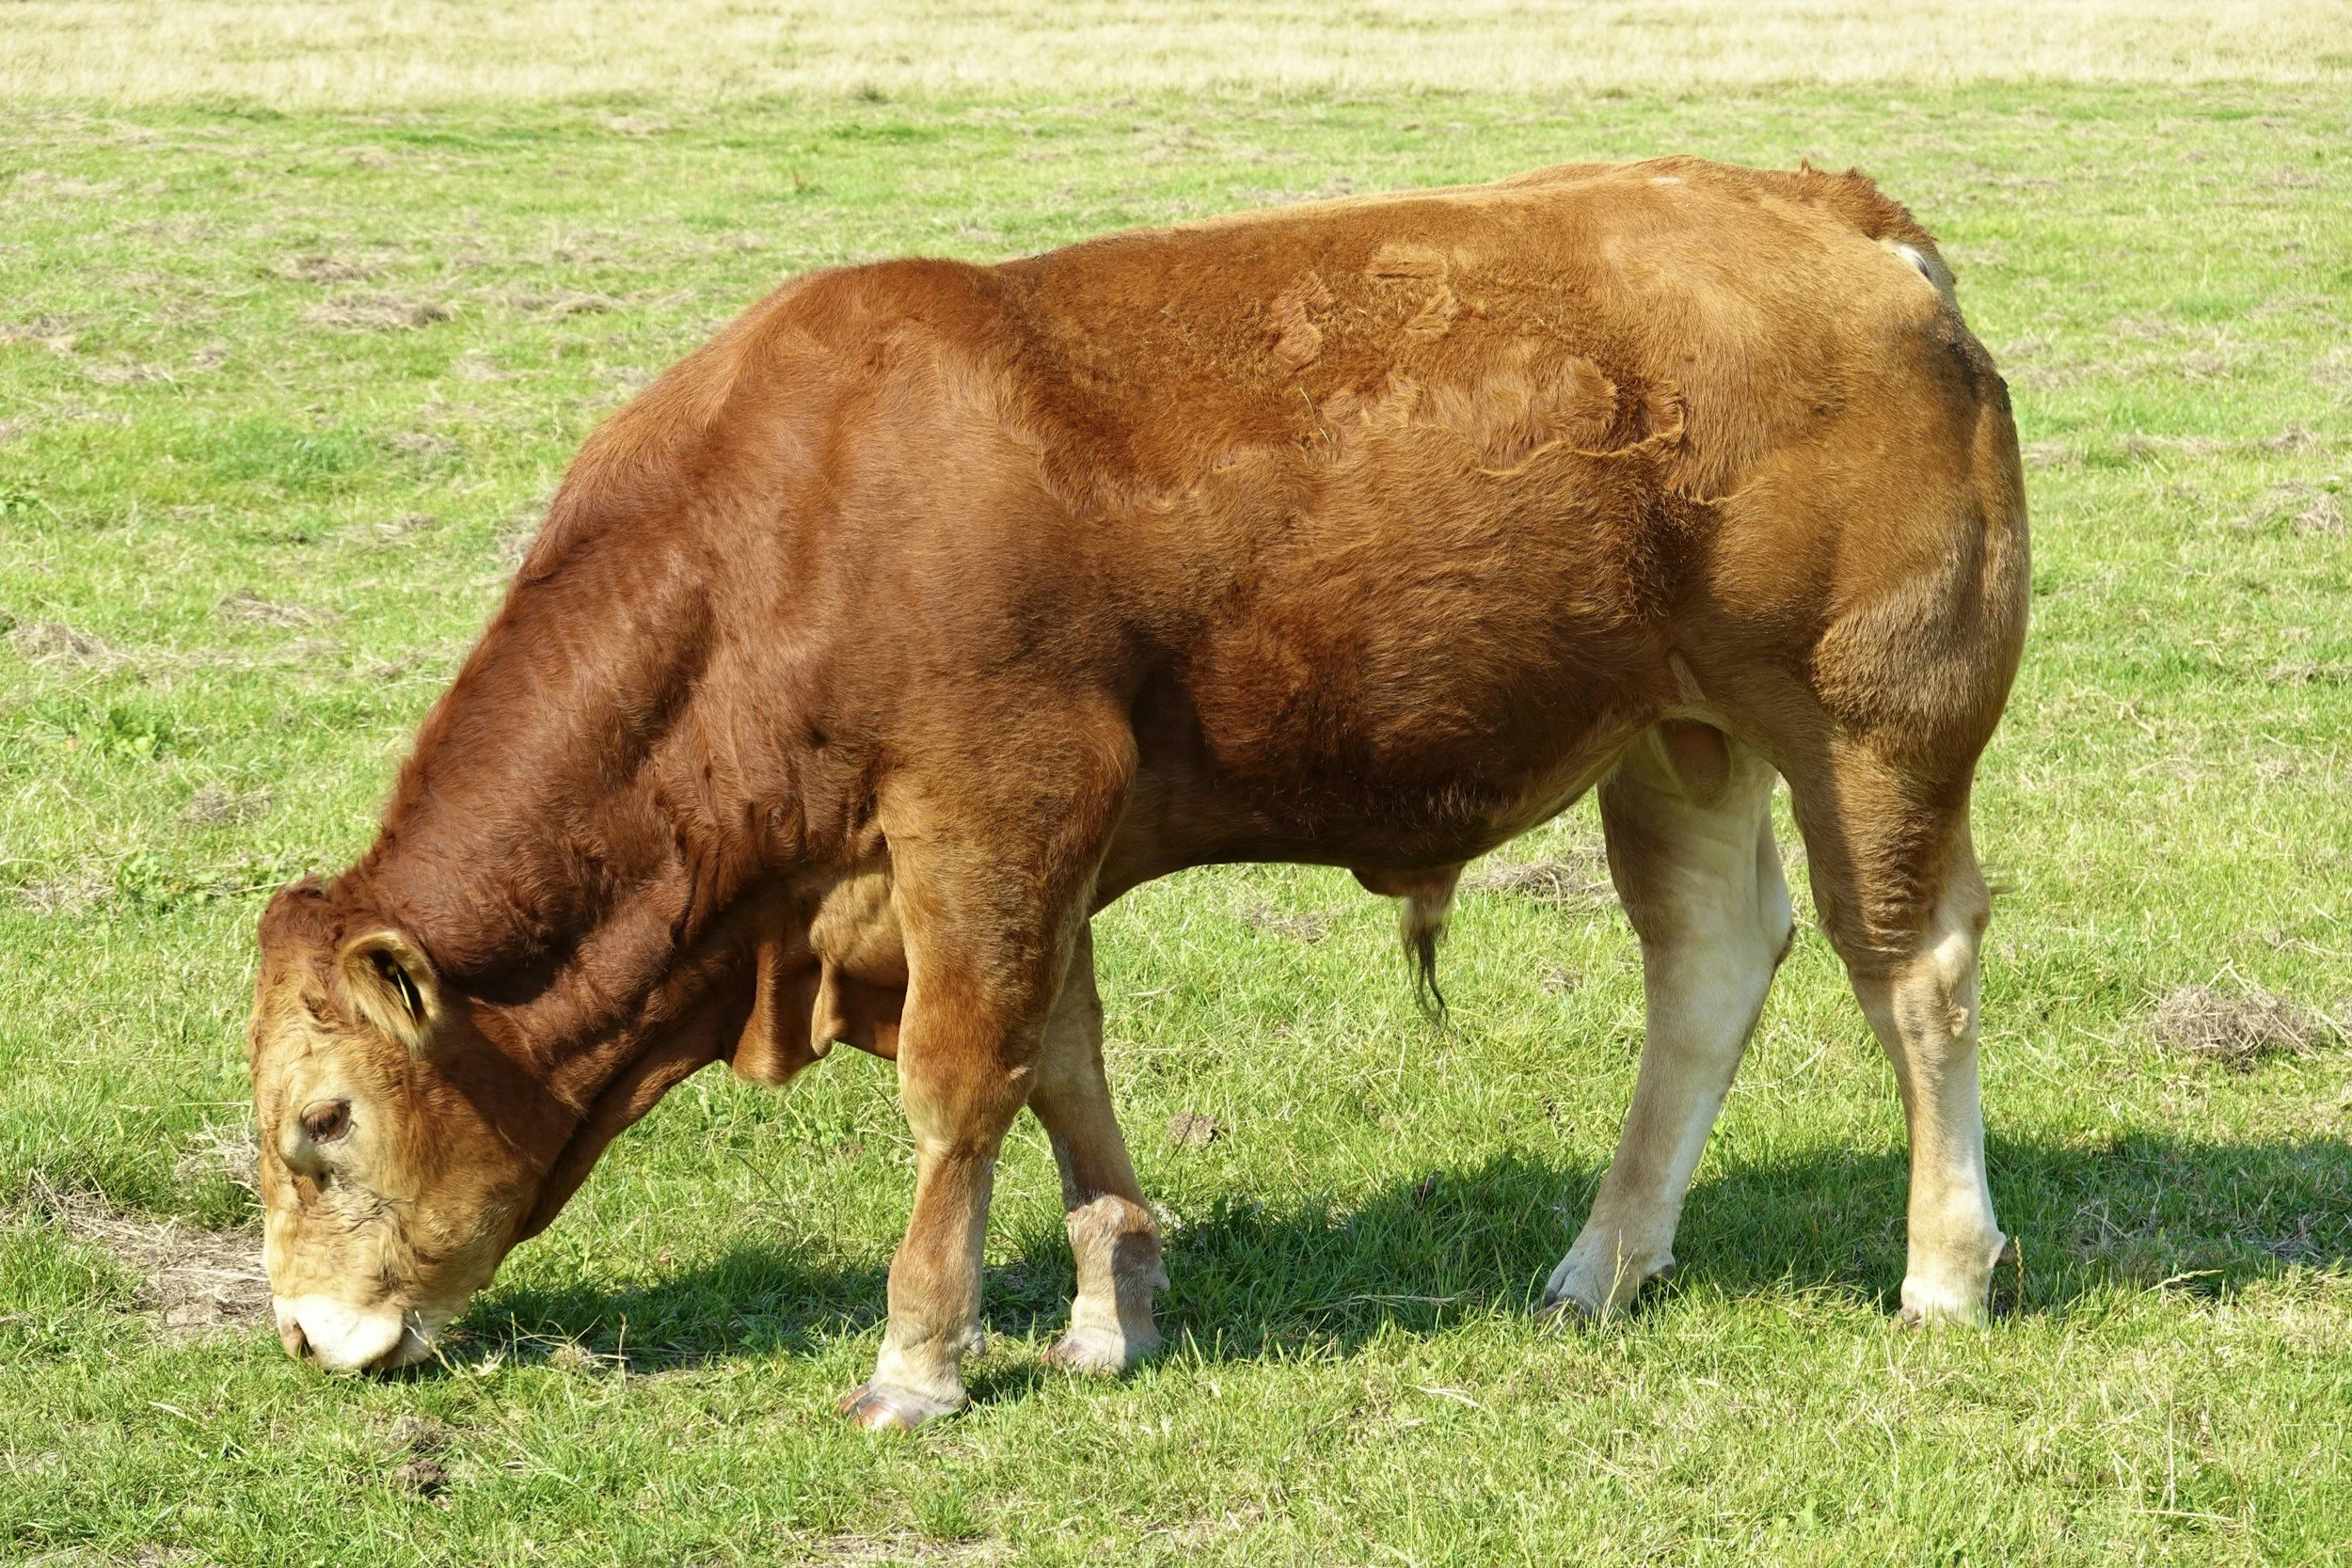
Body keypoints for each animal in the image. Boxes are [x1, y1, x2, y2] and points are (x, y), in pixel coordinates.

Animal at [247, 156, 2028, 1429]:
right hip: (1677, 735)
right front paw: (1115, 1307)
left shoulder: (991, 808)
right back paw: (1602, 1261)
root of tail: (1825, 208)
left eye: (322, 1121)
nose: (304, 1331)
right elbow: (1063, 1063)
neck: (781, 531)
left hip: (1871, 720)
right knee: (1707, 965)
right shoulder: (1025, 851)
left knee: (1913, 967)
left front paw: (919, 1357)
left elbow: (962, 1082)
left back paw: (1945, 1266)